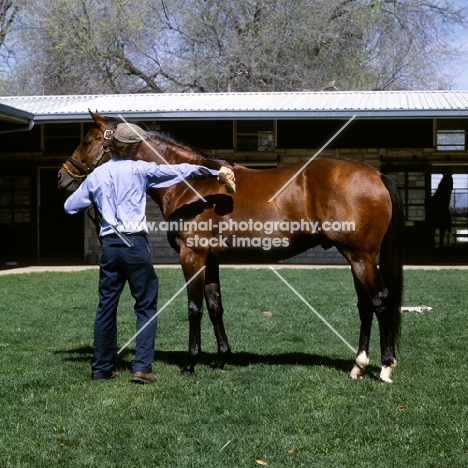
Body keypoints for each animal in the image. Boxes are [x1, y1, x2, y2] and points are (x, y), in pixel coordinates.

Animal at [56, 111, 404, 382]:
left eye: (87, 140)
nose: (62, 176)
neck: (191, 186)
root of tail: (377, 174)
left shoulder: (192, 257)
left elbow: (194, 308)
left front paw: (191, 363)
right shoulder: (211, 261)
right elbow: (215, 307)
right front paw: (222, 358)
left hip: (360, 257)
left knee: (380, 301)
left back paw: (385, 368)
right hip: (356, 258)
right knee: (365, 306)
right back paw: (358, 366)